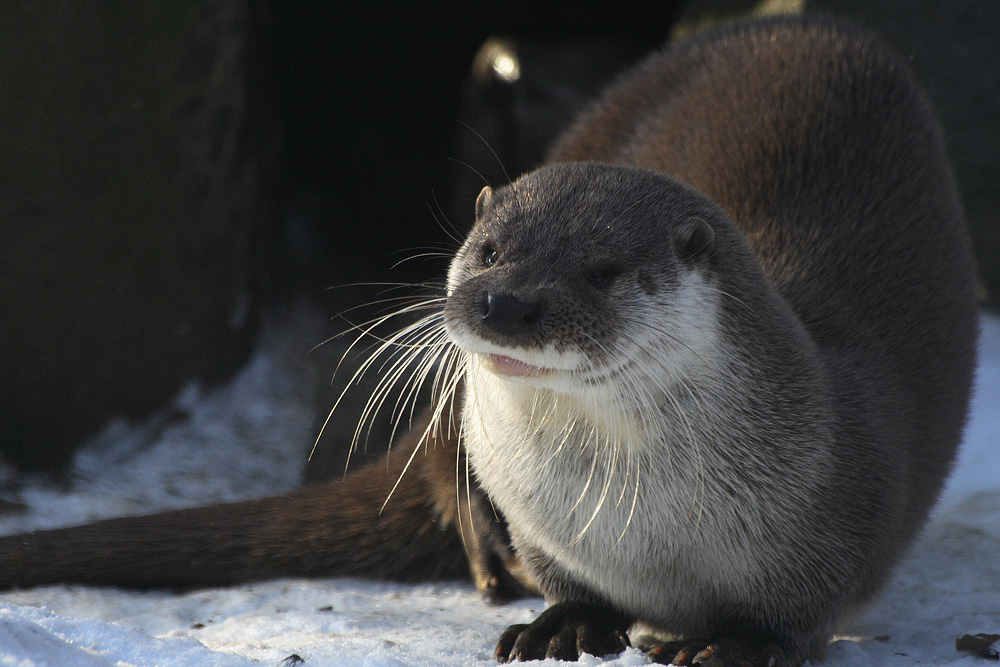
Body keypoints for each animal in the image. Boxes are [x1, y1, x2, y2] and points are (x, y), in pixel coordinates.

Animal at [0, 15, 976, 667]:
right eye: (493, 247)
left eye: (601, 269)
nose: (503, 302)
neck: (650, 532)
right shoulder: (544, 523)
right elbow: (566, 582)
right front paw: (568, 622)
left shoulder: (840, 514)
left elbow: (797, 617)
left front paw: (737, 644)